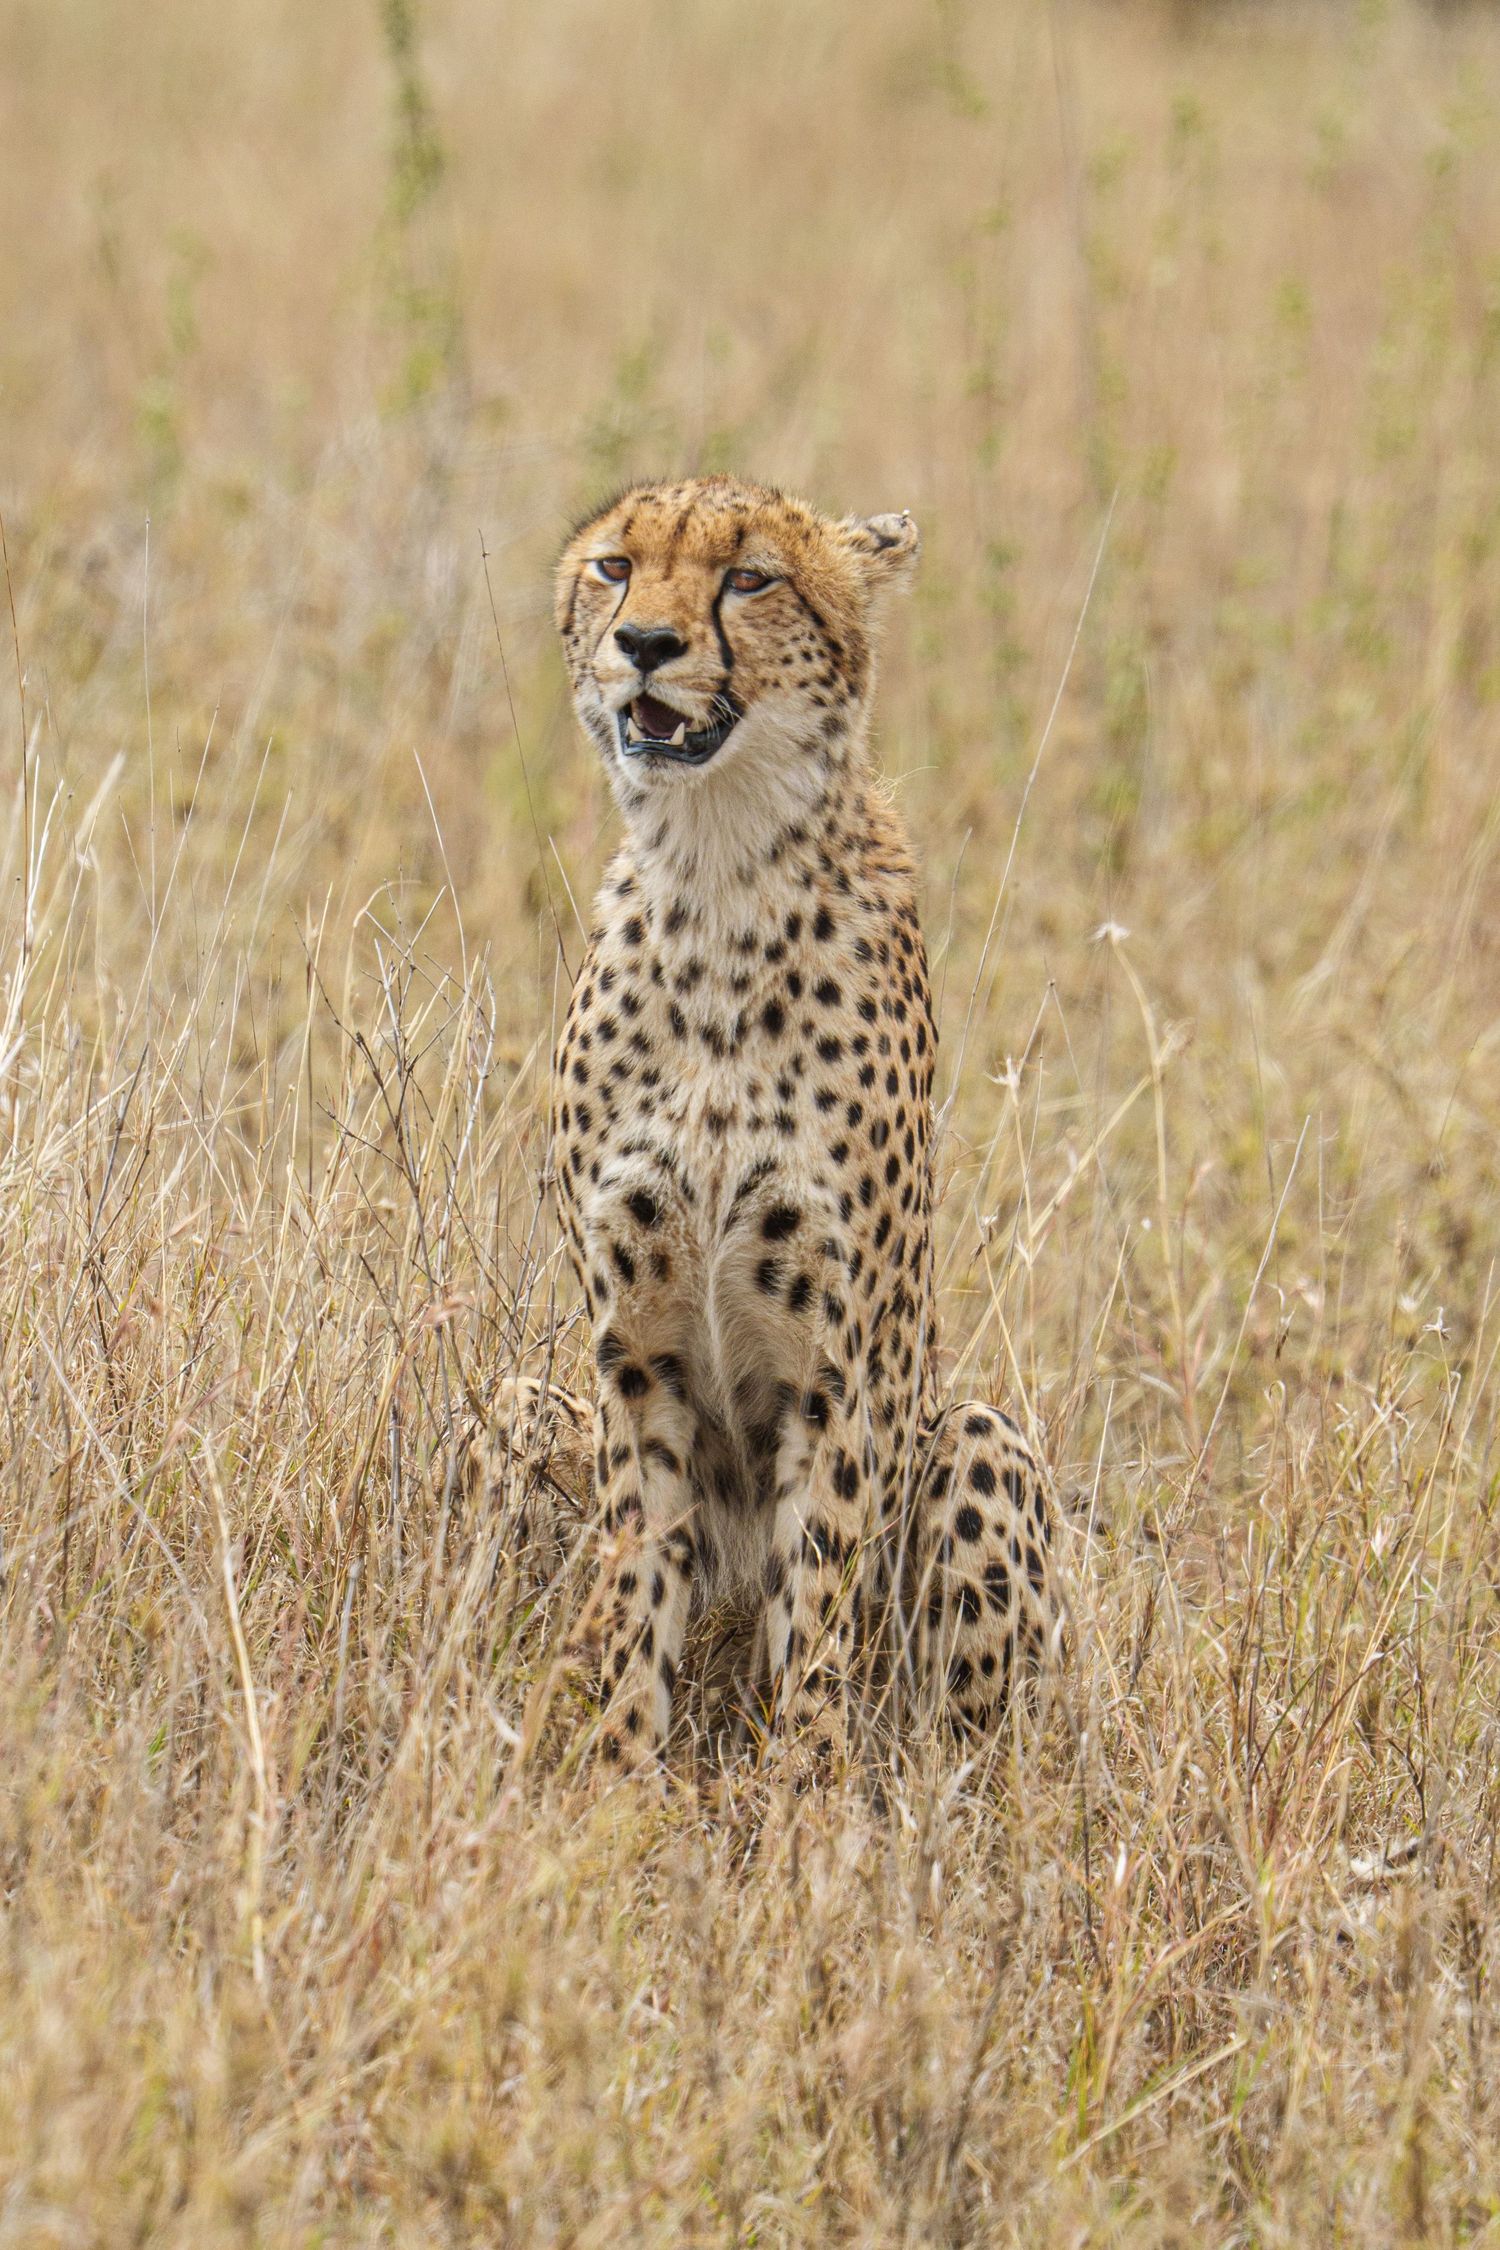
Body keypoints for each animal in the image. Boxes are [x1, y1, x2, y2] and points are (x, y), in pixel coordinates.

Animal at [506, 473, 1057, 1773]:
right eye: (615, 566)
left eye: (749, 577)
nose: (645, 645)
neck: (717, 869)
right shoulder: (632, 1346)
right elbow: (638, 1570)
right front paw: (621, 1780)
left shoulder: (837, 1365)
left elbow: (816, 1596)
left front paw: (805, 1795)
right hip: (526, 1406)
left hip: (976, 1431)